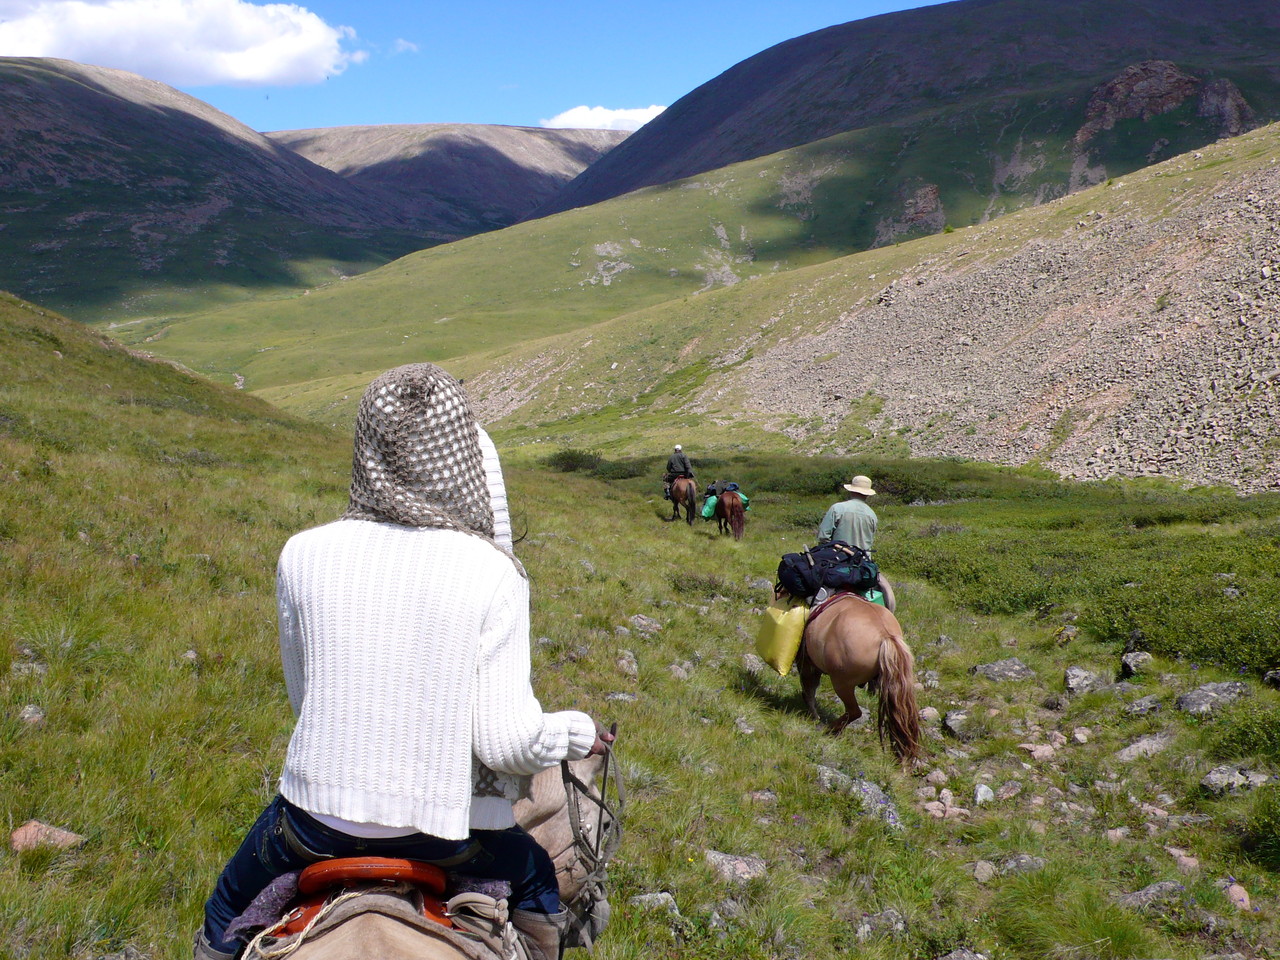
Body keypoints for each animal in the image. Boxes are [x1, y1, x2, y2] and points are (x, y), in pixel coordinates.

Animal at [798, 599, 921, 762]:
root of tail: (886, 636)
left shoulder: (807, 661)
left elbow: (809, 687)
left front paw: (813, 715)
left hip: (842, 683)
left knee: (854, 711)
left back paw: (829, 728)